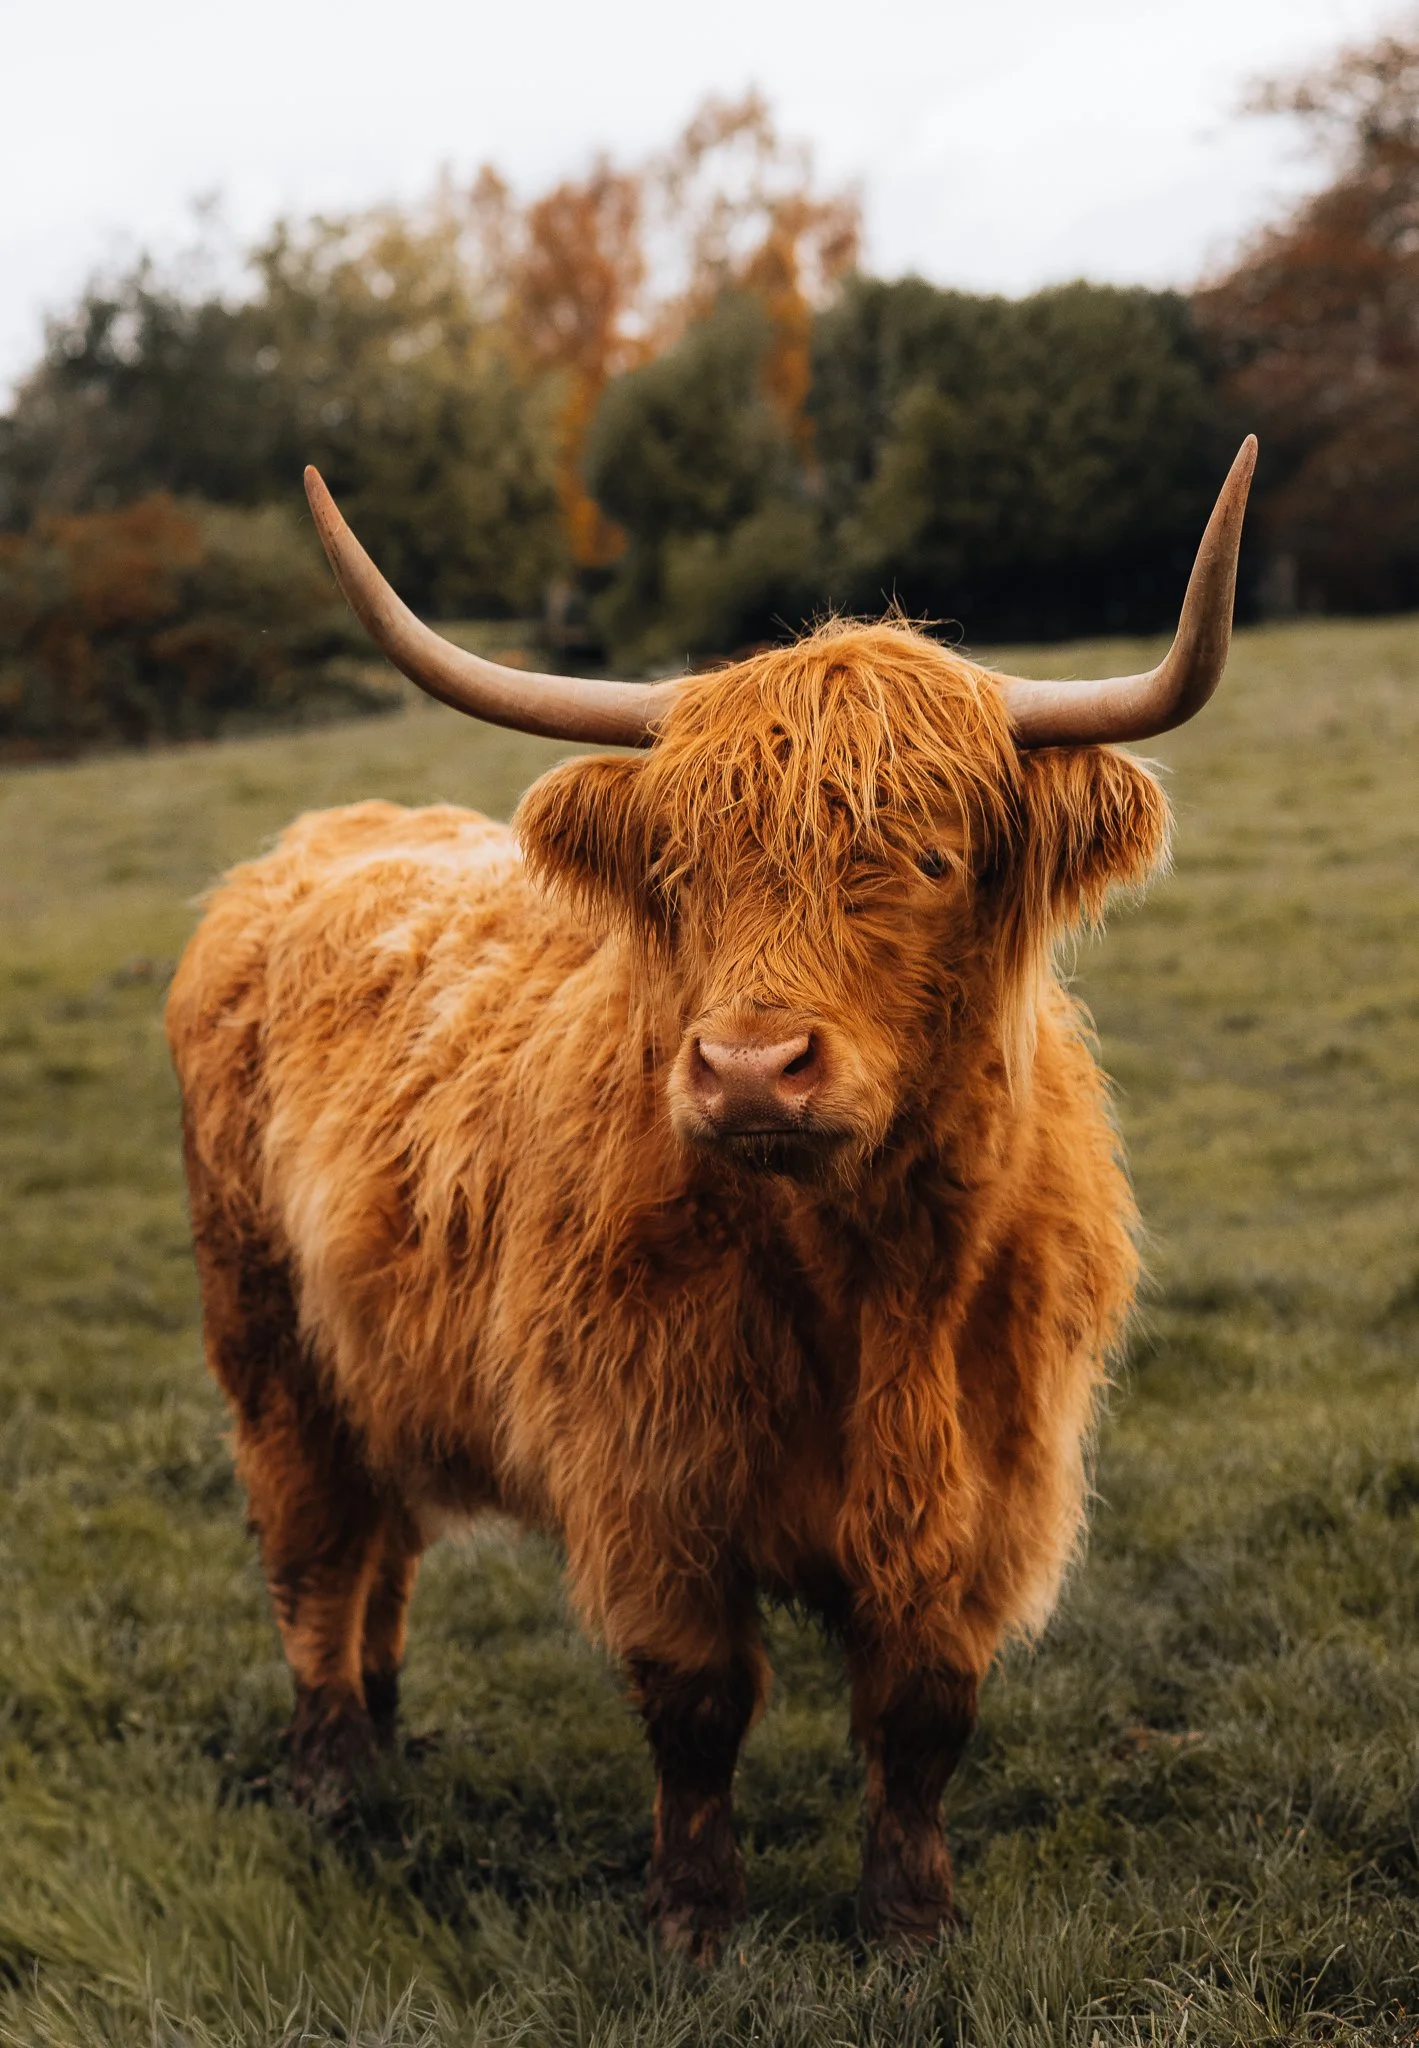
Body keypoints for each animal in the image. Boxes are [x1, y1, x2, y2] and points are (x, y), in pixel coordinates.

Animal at [166, 438, 1255, 1958]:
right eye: (680, 873)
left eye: (928, 860)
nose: (748, 1068)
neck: (868, 1279)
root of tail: (320, 838)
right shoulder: (649, 1476)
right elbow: (695, 1704)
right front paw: (691, 1918)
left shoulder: (988, 1489)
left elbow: (923, 1712)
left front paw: (910, 1920)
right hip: (264, 1335)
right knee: (315, 1542)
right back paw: (333, 1772)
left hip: (374, 1355)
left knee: (381, 1540)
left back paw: (383, 1732)